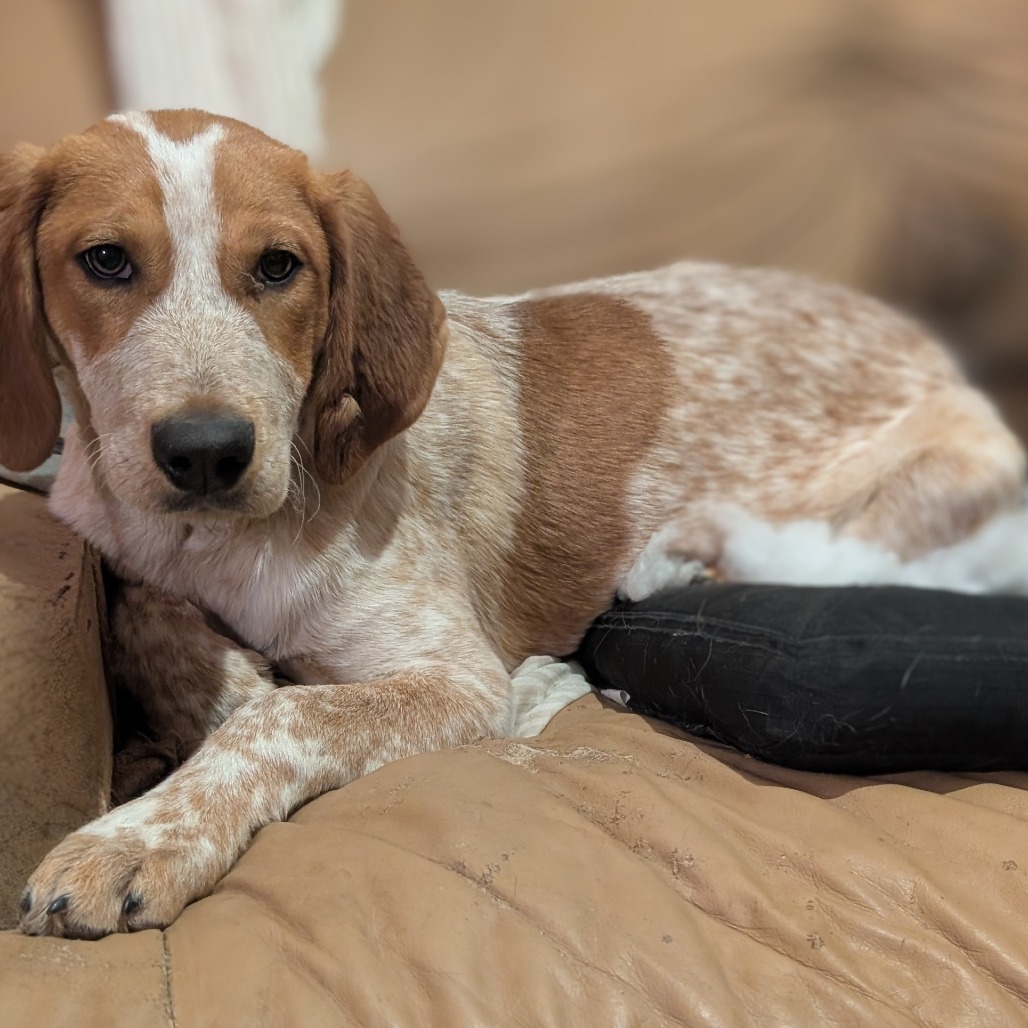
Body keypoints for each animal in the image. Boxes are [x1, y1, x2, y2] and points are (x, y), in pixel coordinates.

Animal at [4, 108, 1023, 937]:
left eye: (279, 266)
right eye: (105, 260)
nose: (208, 453)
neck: (216, 545)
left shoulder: (455, 678)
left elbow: (290, 714)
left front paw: (140, 833)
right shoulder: (122, 551)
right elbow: (148, 619)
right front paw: (218, 687)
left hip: (926, 475)